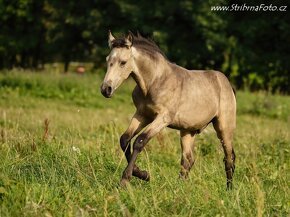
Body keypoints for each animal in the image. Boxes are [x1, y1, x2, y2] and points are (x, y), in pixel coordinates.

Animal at [99, 31, 236, 190]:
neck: (156, 81)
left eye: (123, 62)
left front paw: (126, 179)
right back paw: (179, 188)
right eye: (107, 60)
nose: (106, 89)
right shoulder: (142, 114)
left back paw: (229, 190)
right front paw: (142, 174)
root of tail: (227, 84)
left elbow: (140, 141)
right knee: (188, 159)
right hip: (187, 131)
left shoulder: (162, 119)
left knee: (228, 158)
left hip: (223, 128)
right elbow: (125, 139)